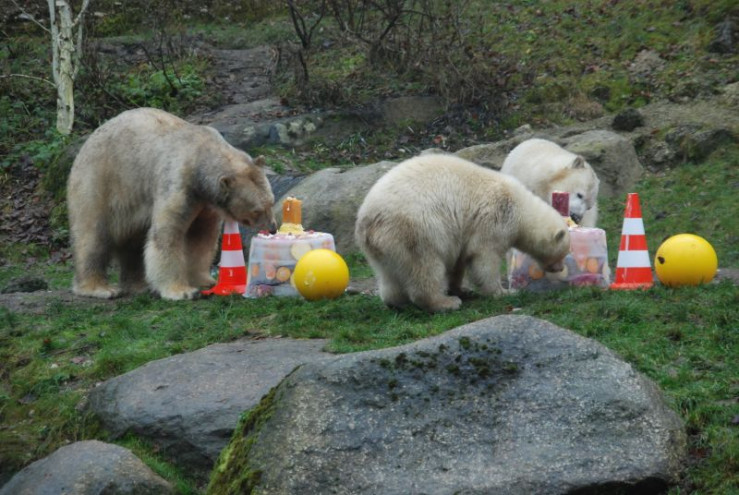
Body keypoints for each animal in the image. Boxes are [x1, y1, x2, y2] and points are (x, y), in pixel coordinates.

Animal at [67, 107, 276, 301]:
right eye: (257, 210)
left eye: (271, 202)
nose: (273, 228)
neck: (200, 153)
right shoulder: (178, 183)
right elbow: (167, 235)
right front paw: (182, 291)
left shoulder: (204, 202)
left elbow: (201, 237)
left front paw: (203, 280)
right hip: (100, 181)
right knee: (93, 235)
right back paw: (100, 288)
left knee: (132, 243)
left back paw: (138, 284)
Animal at [354, 153, 571, 313]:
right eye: (562, 254)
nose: (559, 268)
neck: (519, 207)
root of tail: (368, 221)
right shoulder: (493, 218)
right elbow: (484, 258)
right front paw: (503, 292)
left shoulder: (462, 234)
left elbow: (458, 263)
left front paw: (462, 289)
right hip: (416, 230)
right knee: (425, 267)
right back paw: (445, 303)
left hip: (383, 246)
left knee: (388, 274)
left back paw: (396, 302)